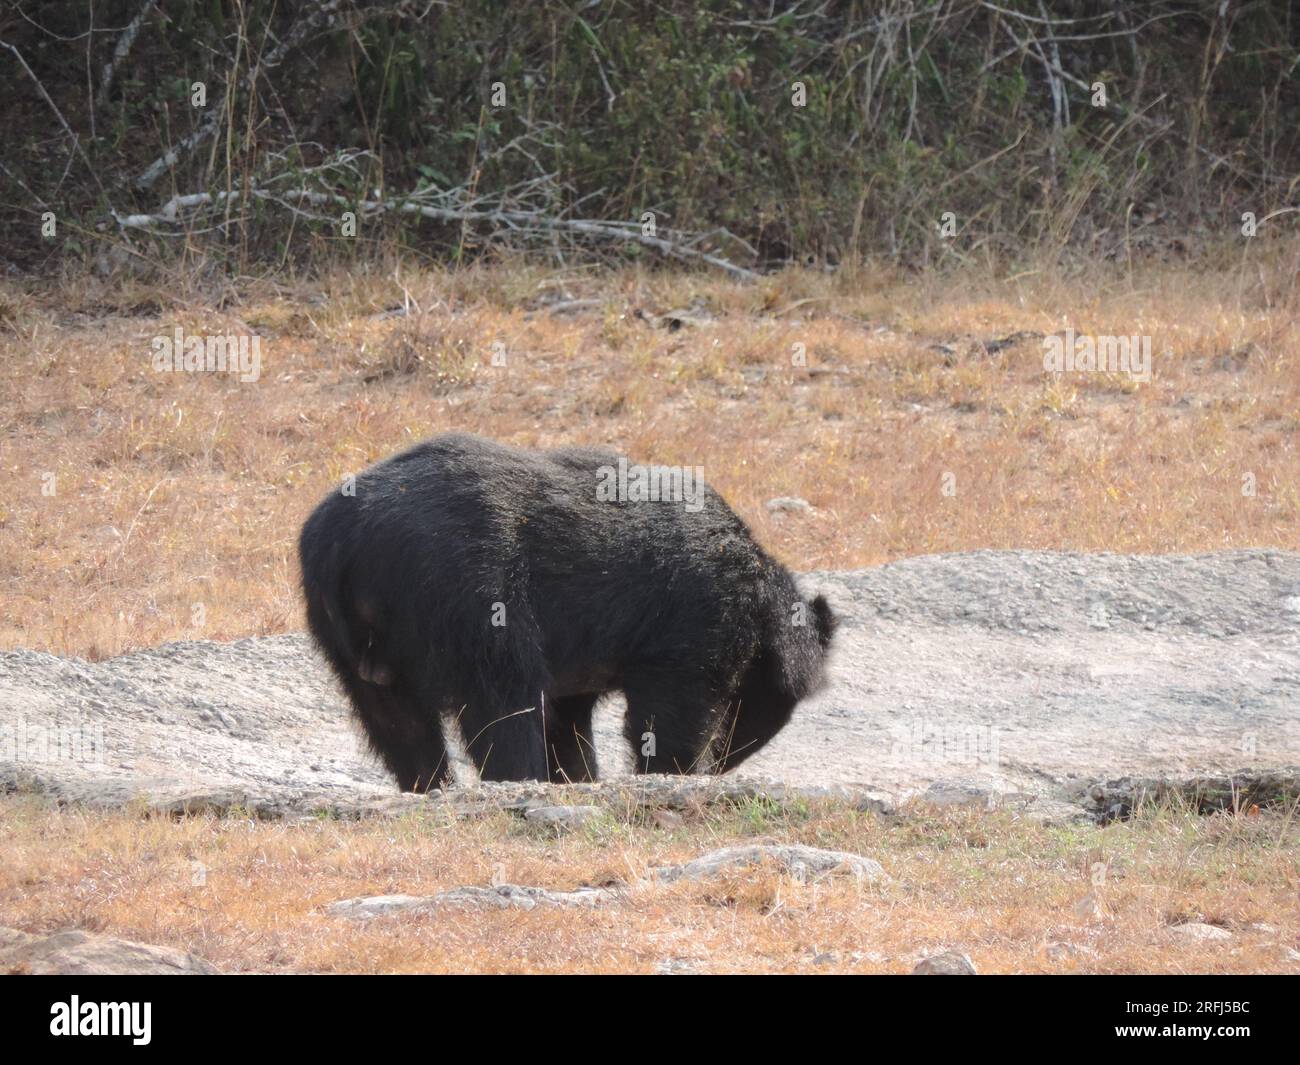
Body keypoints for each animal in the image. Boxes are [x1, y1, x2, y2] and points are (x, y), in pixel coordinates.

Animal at [299, 432, 836, 790]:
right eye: (761, 705)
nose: (724, 763)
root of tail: (349, 539)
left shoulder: (579, 662)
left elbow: (567, 721)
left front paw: (580, 778)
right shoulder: (694, 621)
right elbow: (670, 712)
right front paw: (673, 773)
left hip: (346, 632)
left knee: (395, 718)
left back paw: (433, 786)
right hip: (473, 595)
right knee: (504, 698)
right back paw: (516, 779)